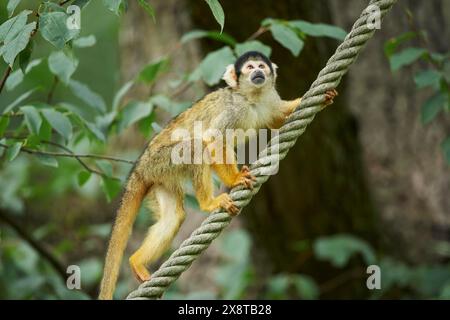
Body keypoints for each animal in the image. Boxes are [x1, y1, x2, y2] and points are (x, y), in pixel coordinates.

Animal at [99, 51, 338, 298]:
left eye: (261, 66)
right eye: (250, 67)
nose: (257, 72)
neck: (251, 97)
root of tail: (140, 166)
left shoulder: (269, 99)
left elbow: (276, 118)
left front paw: (320, 99)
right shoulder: (233, 110)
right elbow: (213, 139)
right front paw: (234, 179)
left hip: (160, 177)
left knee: (174, 216)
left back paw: (136, 261)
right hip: (161, 160)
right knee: (195, 146)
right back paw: (208, 202)